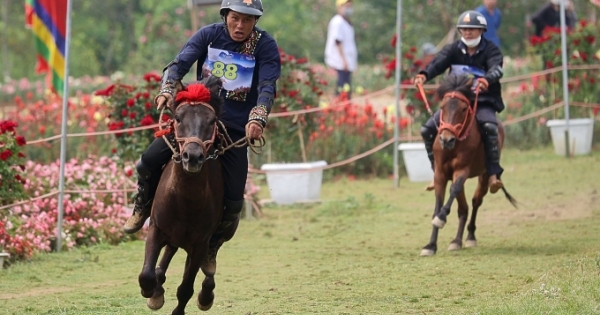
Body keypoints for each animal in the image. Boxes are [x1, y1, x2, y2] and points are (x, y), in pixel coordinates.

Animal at [138, 76, 234, 314]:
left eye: (212, 120)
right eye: (178, 118)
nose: (192, 156)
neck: (185, 202)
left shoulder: (199, 245)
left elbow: (185, 289)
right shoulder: (156, 229)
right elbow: (147, 275)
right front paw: (151, 291)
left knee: (209, 267)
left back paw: (207, 292)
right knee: (167, 255)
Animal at [422, 75, 516, 258]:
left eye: (464, 108)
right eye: (442, 107)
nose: (446, 140)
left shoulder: (462, 170)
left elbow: (453, 193)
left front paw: (441, 219)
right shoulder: (440, 174)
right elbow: (439, 204)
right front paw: (430, 245)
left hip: (484, 174)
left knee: (475, 202)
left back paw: (469, 236)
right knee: (463, 208)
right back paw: (456, 241)